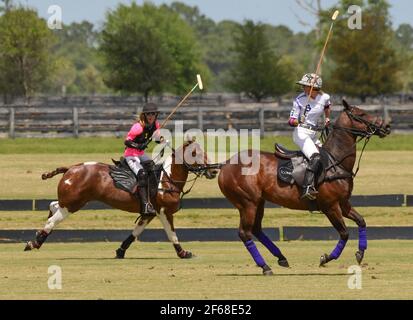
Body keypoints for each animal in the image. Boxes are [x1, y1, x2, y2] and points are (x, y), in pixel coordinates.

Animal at [24, 139, 217, 258]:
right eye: (194, 153)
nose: (214, 170)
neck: (167, 178)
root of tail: (70, 168)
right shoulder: (164, 212)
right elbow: (172, 234)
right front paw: (183, 253)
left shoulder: (149, 213)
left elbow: (135, 232)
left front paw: (120, 251)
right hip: (72, 203)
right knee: (52, 220)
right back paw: (34, 243)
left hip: (71, 201)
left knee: (53, 205)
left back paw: (38, 237)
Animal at [219, 100, 390, 276]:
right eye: (361, 114)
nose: (386, 126)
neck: (336, 162)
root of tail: (225, 164)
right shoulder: (330, 206)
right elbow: (344, 233)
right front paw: (326, 258)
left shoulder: (343, 203)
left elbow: (361, 221)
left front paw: (360, 252)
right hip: (247, 203)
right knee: (245, 233)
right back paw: (265, 266)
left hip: (259, 202)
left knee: (256, 229)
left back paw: (281, 258)